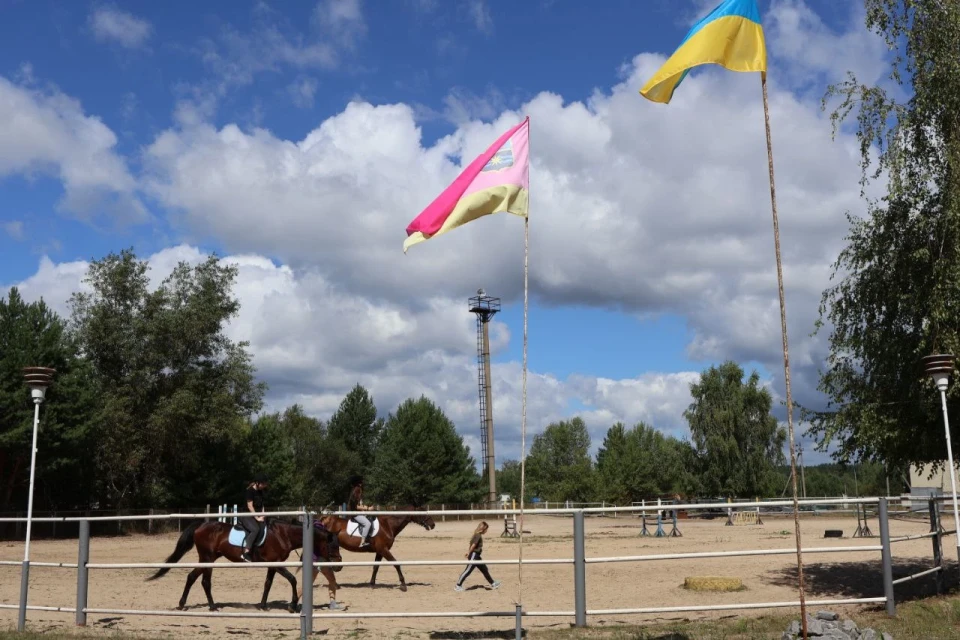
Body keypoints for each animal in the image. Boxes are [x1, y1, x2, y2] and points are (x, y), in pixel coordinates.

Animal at [142, 516, 338, 612]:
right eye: (332, 546)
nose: (338, 565)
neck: (283, 534)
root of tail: (201, 526)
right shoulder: (276, 563)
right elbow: (292, 579)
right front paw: (292, 605)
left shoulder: (272, 564)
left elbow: (268, 583)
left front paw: (263, 606)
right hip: (207, 558)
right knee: (204, 581)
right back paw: (211, 607)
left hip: (207, 559)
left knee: (192, 577)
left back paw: (183, 604)